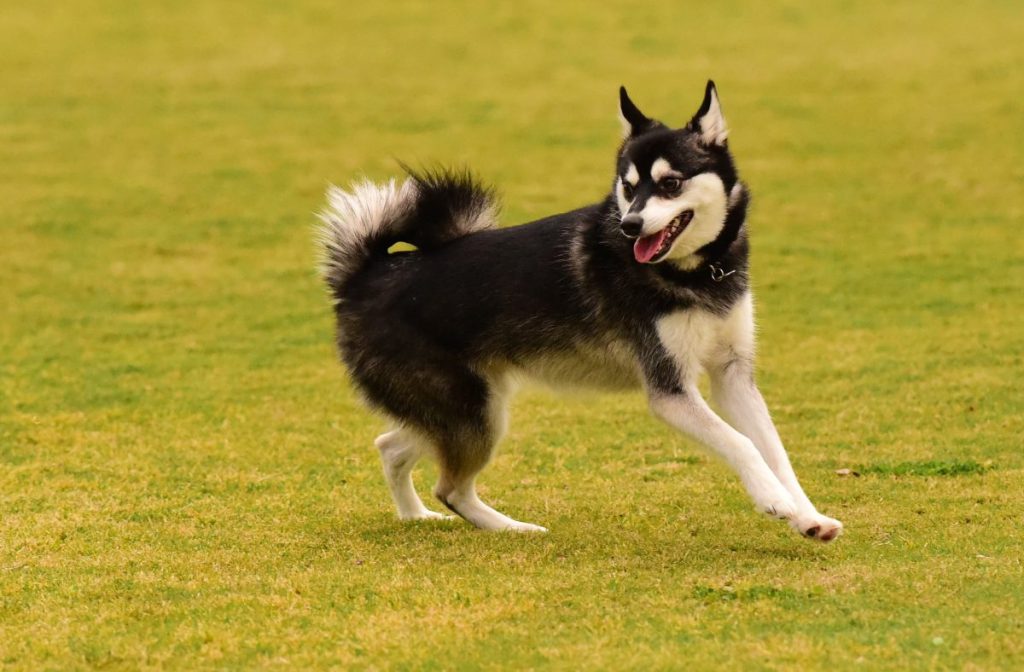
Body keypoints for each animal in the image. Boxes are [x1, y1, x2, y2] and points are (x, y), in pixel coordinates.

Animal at [321, 81, 847, 544]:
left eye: (670, 184)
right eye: (628, 187)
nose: (631, 225)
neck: (698, 273)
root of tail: (367, 274)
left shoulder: (733, 374)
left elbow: (775, 452)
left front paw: (808, 517)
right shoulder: (670, 391)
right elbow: (742, 443)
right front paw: (774, 502)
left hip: (466, 408)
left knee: (391, 447)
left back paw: (415, 517)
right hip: (472, 413)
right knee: (448, 486)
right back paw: (512, 529)